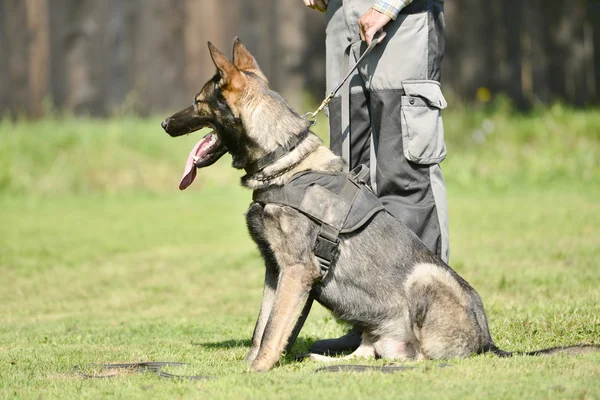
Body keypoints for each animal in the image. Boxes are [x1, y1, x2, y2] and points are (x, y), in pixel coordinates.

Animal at [162, 38, 596, 372]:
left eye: (198, 102)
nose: (165, 124)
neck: (283, 158)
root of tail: (488, 342)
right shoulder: (275, 270)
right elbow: (262, 329)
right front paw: (252, 364)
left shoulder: (296, 272)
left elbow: (272, 332)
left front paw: (258, 372)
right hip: (372, 325)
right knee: (372, 353)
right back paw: (328, 361)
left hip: (425, 278)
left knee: (422, 358)